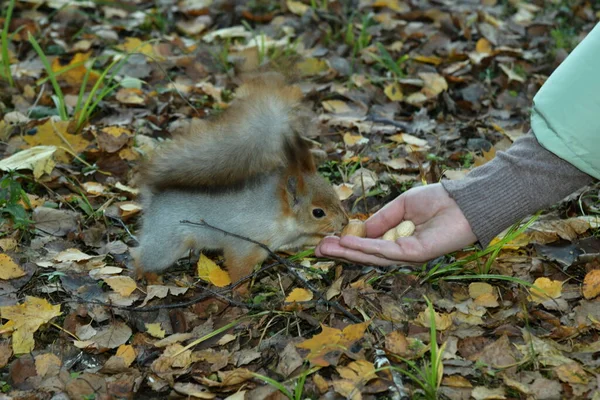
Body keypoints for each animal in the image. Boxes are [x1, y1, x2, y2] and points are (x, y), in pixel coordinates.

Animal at [131, 74, 346, 284]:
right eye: (318, 212)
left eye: (334, 193)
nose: (344, 223)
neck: (281, 216)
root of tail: (154, 199)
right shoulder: (244, 244)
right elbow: (238, 268)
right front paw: (241, 291)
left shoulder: (294, 238)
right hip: (166, 242)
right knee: (141, 258)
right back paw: (148, 276)